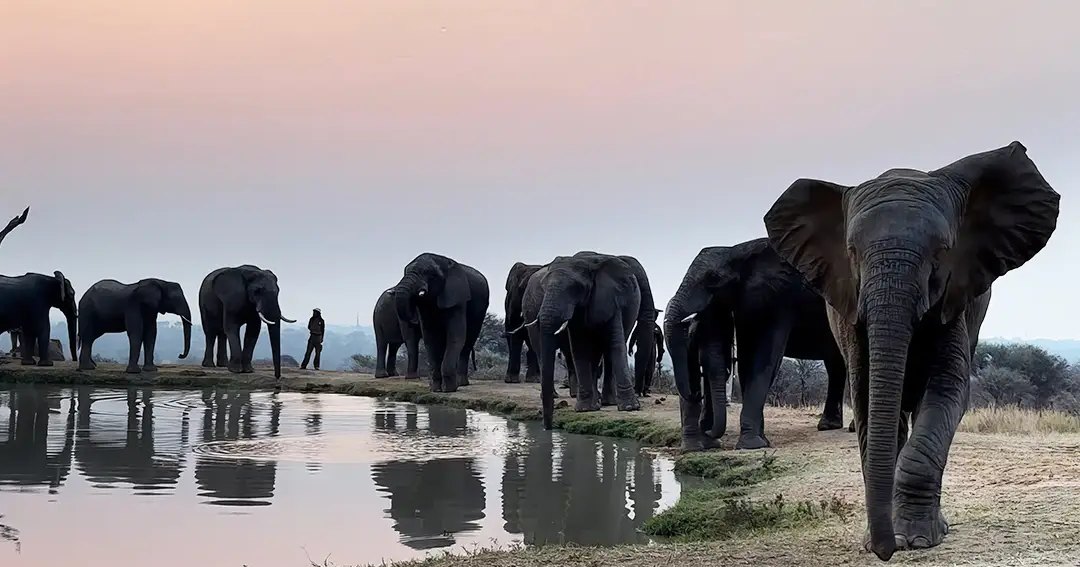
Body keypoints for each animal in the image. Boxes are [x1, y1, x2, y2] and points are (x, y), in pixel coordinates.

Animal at [391, 253, 490, 393]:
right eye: (405, 271)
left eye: (429, 273)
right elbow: (430, 338)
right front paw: (436, 389)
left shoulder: (457, 298)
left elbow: (456, 336)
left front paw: (449, 389)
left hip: (480, 310)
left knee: (468, 342)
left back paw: (461, 383)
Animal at [521, 252, 642, 429]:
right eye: (543, 287)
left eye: (575, 288)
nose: (547, 428)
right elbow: (579, 348)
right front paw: (585, 409)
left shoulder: (610, 299)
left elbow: (614, 343)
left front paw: (630, 408)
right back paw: (597, 402)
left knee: (606, 351)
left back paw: (607, 402)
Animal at [664, 239, 848, 451]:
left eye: (713, 278)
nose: (694, 394)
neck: (739, 251)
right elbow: (746, 360)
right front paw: (761, 442)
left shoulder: (780, 297)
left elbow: (764, 357)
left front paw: (751, 445)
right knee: (836, 364)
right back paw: (828, 426)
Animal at [763, 141, 1059, 560]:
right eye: (852, 252)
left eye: (942, 252)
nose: (884, 551)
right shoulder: (851, 309)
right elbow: (867, 395)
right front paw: (884, 540)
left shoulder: (954, 300)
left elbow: (948, 390)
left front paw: (918, 540)